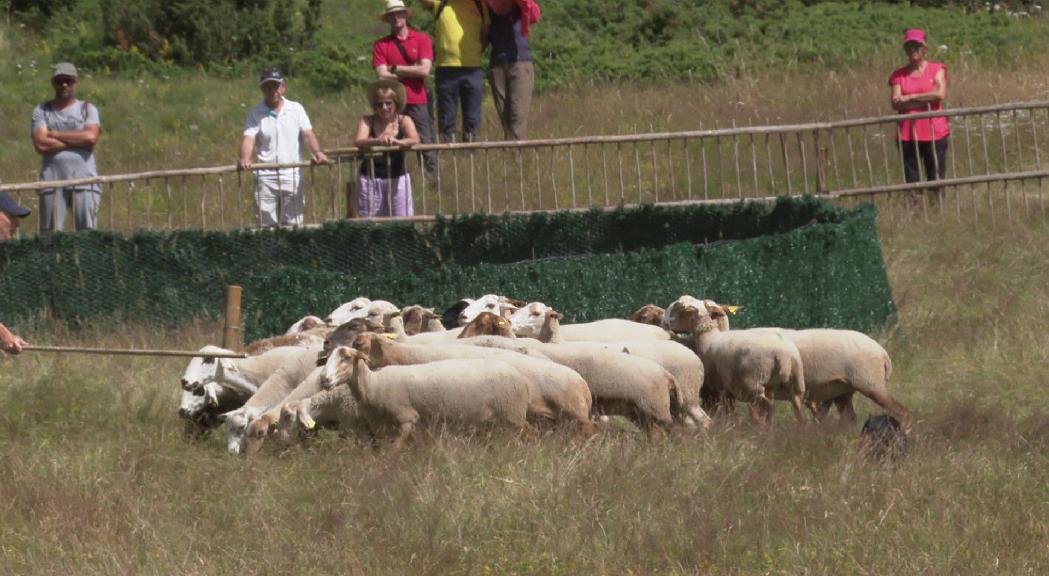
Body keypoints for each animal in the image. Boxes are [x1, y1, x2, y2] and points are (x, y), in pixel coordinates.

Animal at [318, 344, 532, 446]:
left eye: (346, 358)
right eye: (327, 359)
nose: (324, 380)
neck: (374, 385)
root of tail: (522, 379)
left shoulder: (407, 418)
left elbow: (394, 451)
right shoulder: (383, 427)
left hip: (512, 416)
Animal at [671, 297, 801, 423]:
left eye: (685, 311)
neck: (709, 336)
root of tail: (782, 354)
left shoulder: (716, 388)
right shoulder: (728, 389)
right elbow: (730, 411)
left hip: (754, 383)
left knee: (766, 405)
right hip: (793, 383)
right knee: (795, 405)